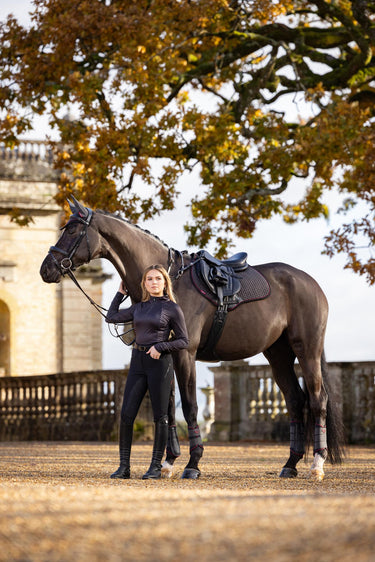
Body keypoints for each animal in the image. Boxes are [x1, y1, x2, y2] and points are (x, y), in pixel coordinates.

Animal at [39, 199, 346, 480]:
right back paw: (290, 464)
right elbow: (167, 405)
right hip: (278, 355)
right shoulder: (164, 355)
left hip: (306, 350)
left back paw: (317, 464)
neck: (169, 285)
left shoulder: (185, 354)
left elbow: (189, 405)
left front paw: (192, 464)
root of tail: (309, 281)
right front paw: (167, 462)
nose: (46, 269)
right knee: (295, 400)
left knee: (317, 400)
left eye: (72, 230)